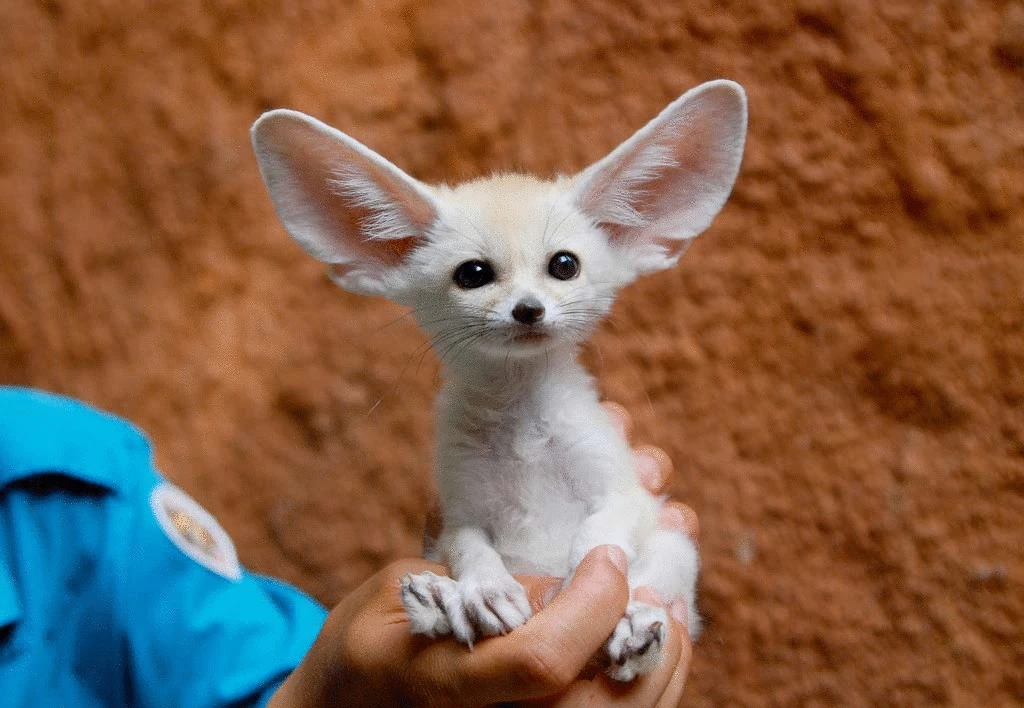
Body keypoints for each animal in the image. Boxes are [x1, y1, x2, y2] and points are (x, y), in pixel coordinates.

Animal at [251, 80, 747, 681]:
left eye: (564, 265)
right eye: (474, 274)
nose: (528, 309)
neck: (521, 425)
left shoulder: (625, 493)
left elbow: (597, 542)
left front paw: (584, 591)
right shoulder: (459, 514)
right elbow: (472, 551)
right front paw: (482, 592)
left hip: (677, 548)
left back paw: (636, 633)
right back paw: (436, 604)